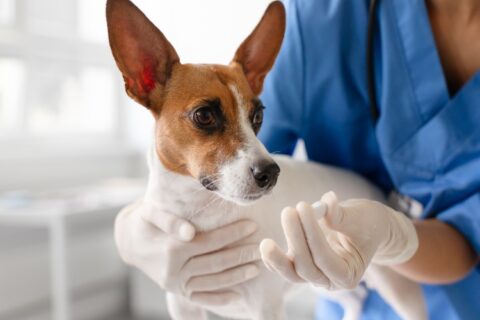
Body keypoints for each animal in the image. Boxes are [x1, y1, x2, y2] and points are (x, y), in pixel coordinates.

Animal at [107, 0, 426, 320]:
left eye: (258, 116)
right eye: (204, 115)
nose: (271, 173)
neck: (200, 211)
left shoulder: (265, 306)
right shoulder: (184, 303)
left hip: (395, 284)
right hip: (327, 279)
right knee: (355, 298)